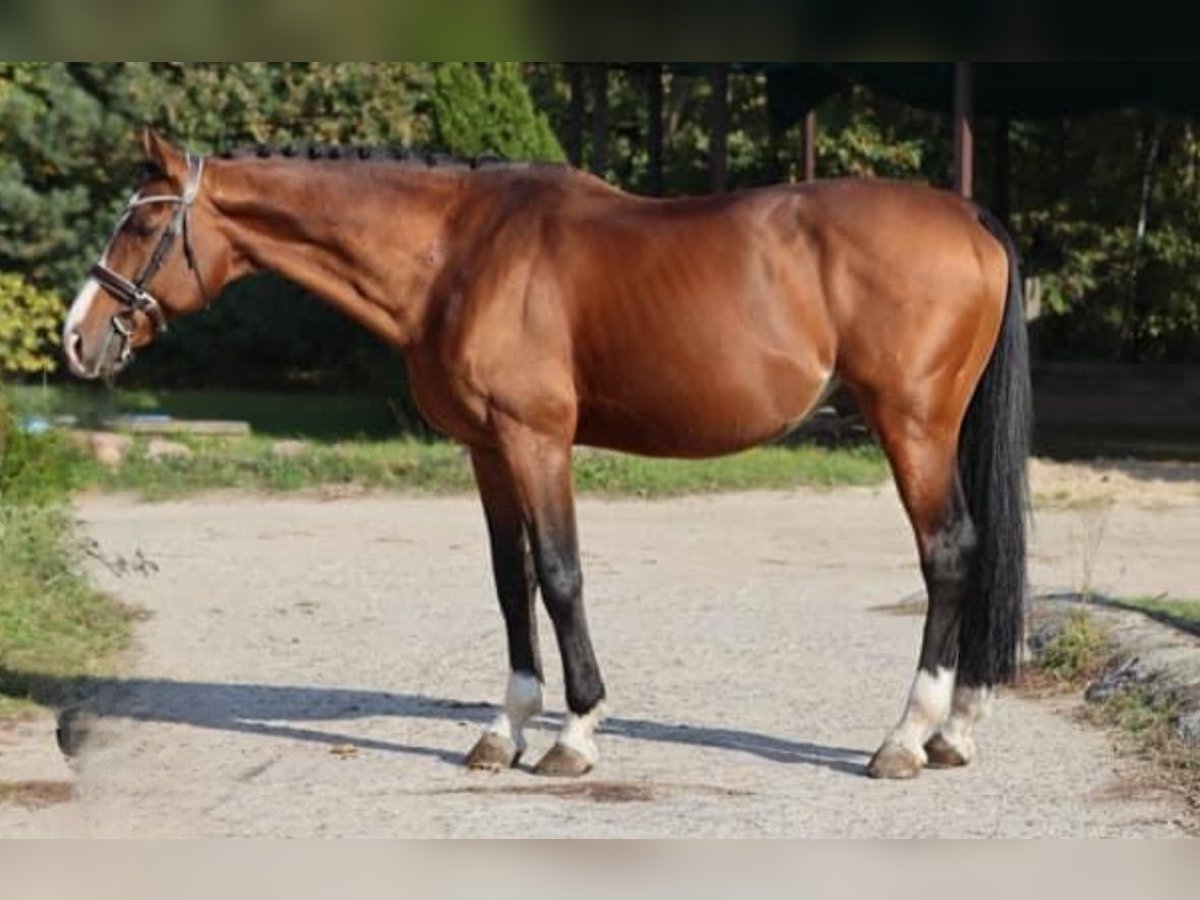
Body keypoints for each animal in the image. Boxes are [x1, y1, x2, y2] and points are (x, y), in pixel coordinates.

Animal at [60, 128, 1027, 782]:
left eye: (141, 228)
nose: (77, 338)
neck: (458, 254)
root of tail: (969, 214)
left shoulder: (537, 439)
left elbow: (560, 576)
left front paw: (574, 733)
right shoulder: (487, 450)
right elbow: (510, 581)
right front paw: (504, 728)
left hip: (912, 425)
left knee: (948, 554)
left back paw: (905, 737)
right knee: (975, 555)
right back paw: (954, 729)